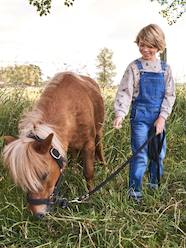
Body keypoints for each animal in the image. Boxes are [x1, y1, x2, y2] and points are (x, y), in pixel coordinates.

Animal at [2, 71, 104, 217]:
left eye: (44, 175)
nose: (36, 214)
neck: (72, 107)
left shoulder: (88, 143)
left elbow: (88, 172)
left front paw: (90, 196)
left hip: (99, 129)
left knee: (99, 145)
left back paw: (103, 164)